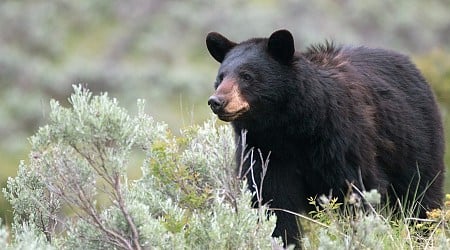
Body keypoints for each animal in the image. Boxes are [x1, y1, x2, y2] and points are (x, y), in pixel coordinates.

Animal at [206, 30, 444, 247]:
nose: (217, 101)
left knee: (421, 196)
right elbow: (272, 201)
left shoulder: (341, 139)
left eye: (247, 76)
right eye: (221, 77)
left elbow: (356, 189)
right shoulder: (264, 151)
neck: (290, 128)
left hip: (416, 142)